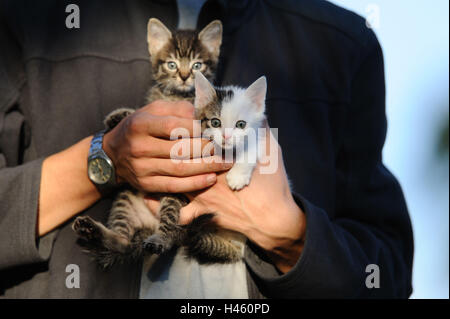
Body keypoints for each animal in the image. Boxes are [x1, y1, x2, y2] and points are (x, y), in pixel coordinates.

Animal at [72, 16, 266, 268]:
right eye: (171, 65)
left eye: (197, 65)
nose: (184, 76)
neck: (177, 96)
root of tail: (150, 225)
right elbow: (142, 112)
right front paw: (119, 116)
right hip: (125, 198)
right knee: (124, 244)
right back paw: (94, 231)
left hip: (175, 197)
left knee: (169, 231)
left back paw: (159, 239)